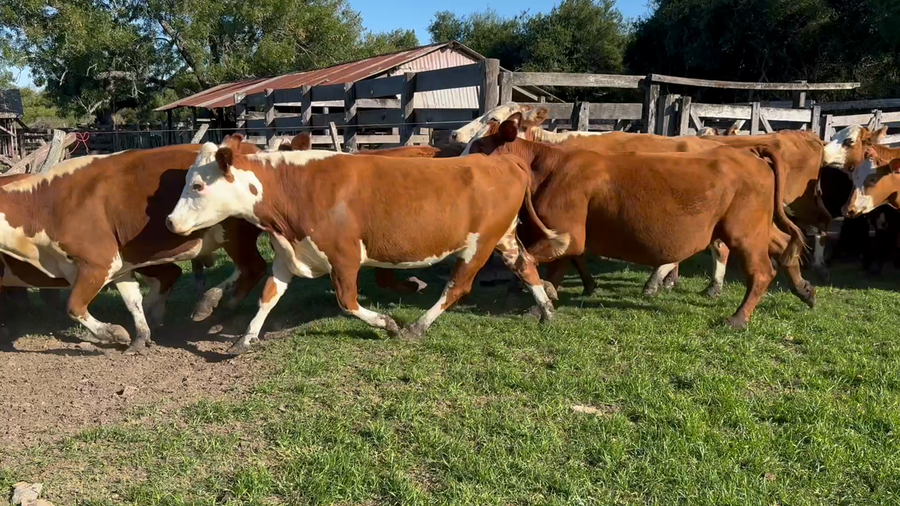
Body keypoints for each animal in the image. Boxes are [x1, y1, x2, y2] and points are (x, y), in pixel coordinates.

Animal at [0, 140, 267, 353]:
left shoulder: (98, 262)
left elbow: (74, 307)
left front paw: (113, 332)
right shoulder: (117, 265)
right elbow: (132, 301)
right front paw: (140, 336)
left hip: (235, 234)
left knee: (253, 268)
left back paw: (218, 305)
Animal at [165, 143, 568, 354]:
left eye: (198, 185)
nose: (170, 222)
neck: (294, 189)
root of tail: (501, 160)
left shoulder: (344, 257)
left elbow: (347, 302)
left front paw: (388, 324)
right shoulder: (287, 254)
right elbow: (268, 297)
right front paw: (245, 339)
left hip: (479, 245)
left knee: (457, 287)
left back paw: (416, 326)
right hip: (505, 238)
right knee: (526, 266)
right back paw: (546, 311)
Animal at [468, 119, 814, 328]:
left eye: (480, 148)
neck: (551, 167)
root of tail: (751, 152)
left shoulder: (567, 234)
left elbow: (533, 262)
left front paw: (539, 304)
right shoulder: (565, 237)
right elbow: (559, 269)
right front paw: (549, 300)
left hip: (744, 232)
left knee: (762, 271)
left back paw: (738, 318)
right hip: (756, 227)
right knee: (786, 245)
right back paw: (804, 290)